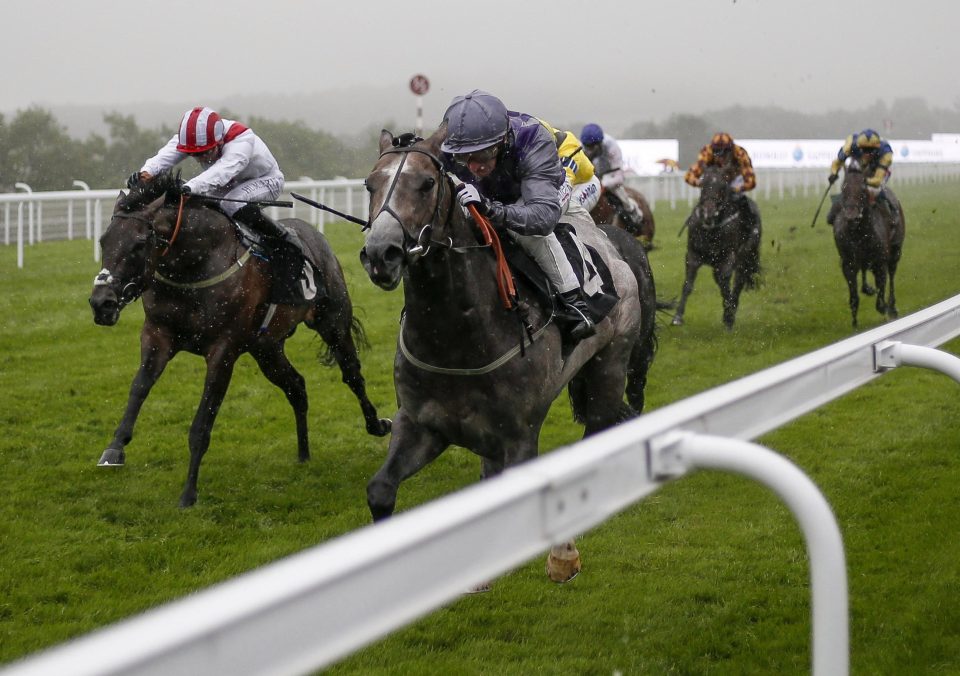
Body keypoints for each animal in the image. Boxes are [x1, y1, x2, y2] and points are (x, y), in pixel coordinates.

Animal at [89, 174, 390, 508]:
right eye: (103, 241)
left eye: (140, 244)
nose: (101, 303)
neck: (194, 266)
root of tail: (314, 234)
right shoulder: (157, 335)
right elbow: (138, 388)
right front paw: (114, 448)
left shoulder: (223, 350)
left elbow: (202, 423)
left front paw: (188, 493)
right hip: (267, 349)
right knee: (296, 386)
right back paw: (303, 453)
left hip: (332, 323)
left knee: (352, 375)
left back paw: (377, 424)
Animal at [360, 125, 660, 580]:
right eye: (369, 184)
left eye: (426, 183)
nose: (381, 253)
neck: (456, 336)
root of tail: (618, 245)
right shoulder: (420, 424)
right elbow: (380, 490)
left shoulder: (518, 435)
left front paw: (559, 554)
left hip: (610, 366)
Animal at [672, 166, 760, 330]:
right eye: (703, 185)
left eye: (722, 186)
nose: (709, 212)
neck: (711, 229)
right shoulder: (693, 255)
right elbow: (688, 285)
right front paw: (677, 317)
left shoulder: (728, 257)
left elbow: (725, 284)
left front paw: (729, 317)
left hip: (745, 257)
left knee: (738, 282)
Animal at [828, 159, 904, 328]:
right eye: (843, 188)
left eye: (863, 189)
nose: (851, 217)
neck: (859, 233)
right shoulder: (848, 263)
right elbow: (854, 297)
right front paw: (855, 323)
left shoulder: (880, 262)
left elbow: (880, 300)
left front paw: (886, 308)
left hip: (895, 252)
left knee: (892, 274)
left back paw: (892, 306)